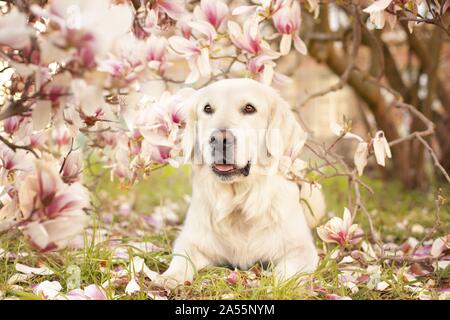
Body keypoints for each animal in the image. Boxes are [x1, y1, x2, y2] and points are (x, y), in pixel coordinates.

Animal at [156, 79, 326, 288]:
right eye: (207, 108)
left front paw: (278, 284)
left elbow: (287, 272)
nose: (219, 139)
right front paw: (170, 277)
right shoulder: (191, 240)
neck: (238, 202)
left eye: (249, 108)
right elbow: (182, 257)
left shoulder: (302, 249)